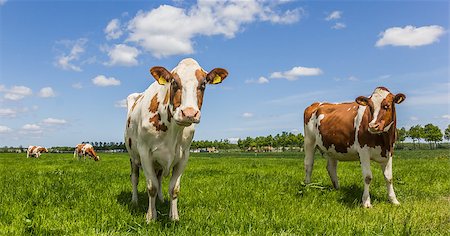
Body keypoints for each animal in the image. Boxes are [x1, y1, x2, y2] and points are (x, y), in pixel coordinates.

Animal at [125, 57, 229, 221]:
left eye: (203, 84)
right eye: (174, 82)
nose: (189, 113)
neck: (172, 131)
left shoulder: (183, 155)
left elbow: (174, 188)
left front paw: (174, 217)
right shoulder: (144, 152)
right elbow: (151, 187)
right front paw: (150, 217)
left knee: (159, 178)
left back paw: (161, 199)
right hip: (133, 156)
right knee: (134, 178)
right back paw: (134, 201)